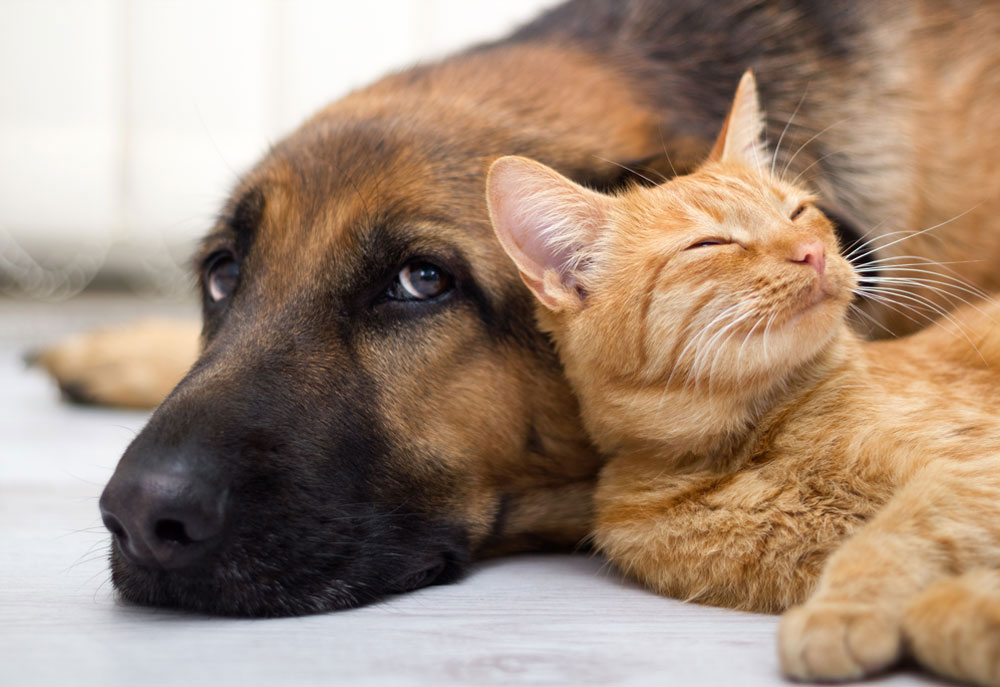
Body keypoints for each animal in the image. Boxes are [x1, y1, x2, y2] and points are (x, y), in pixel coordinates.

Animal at [484, 71, 1000, 687]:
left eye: (799, 212)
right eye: (712, 244)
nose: (811, 252)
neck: (751, 446)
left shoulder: (974, 466)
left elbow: (900, 531)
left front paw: (840, 610)